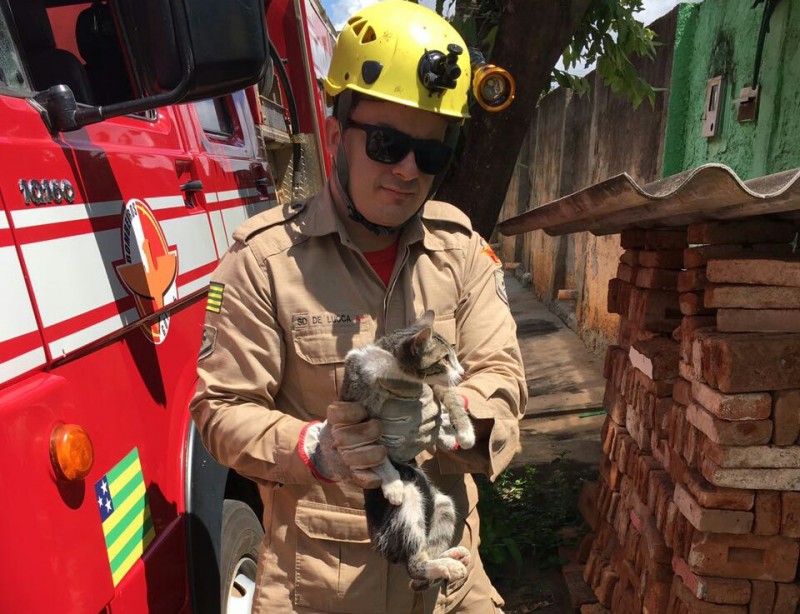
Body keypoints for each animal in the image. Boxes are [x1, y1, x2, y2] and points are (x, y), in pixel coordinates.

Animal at [340, 312, 476, 592]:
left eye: (453, 355)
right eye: (445, 359)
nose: (461, 371)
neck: (397, 372)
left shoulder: (432, 387)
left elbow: (449, 397)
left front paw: (459, 433)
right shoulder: (355, 408)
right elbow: (373, 446)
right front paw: (390, 482)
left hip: (444, 505)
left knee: (422, 561)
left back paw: (450, 558)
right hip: (407, 505)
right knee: (414, 564)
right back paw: (446, 565)